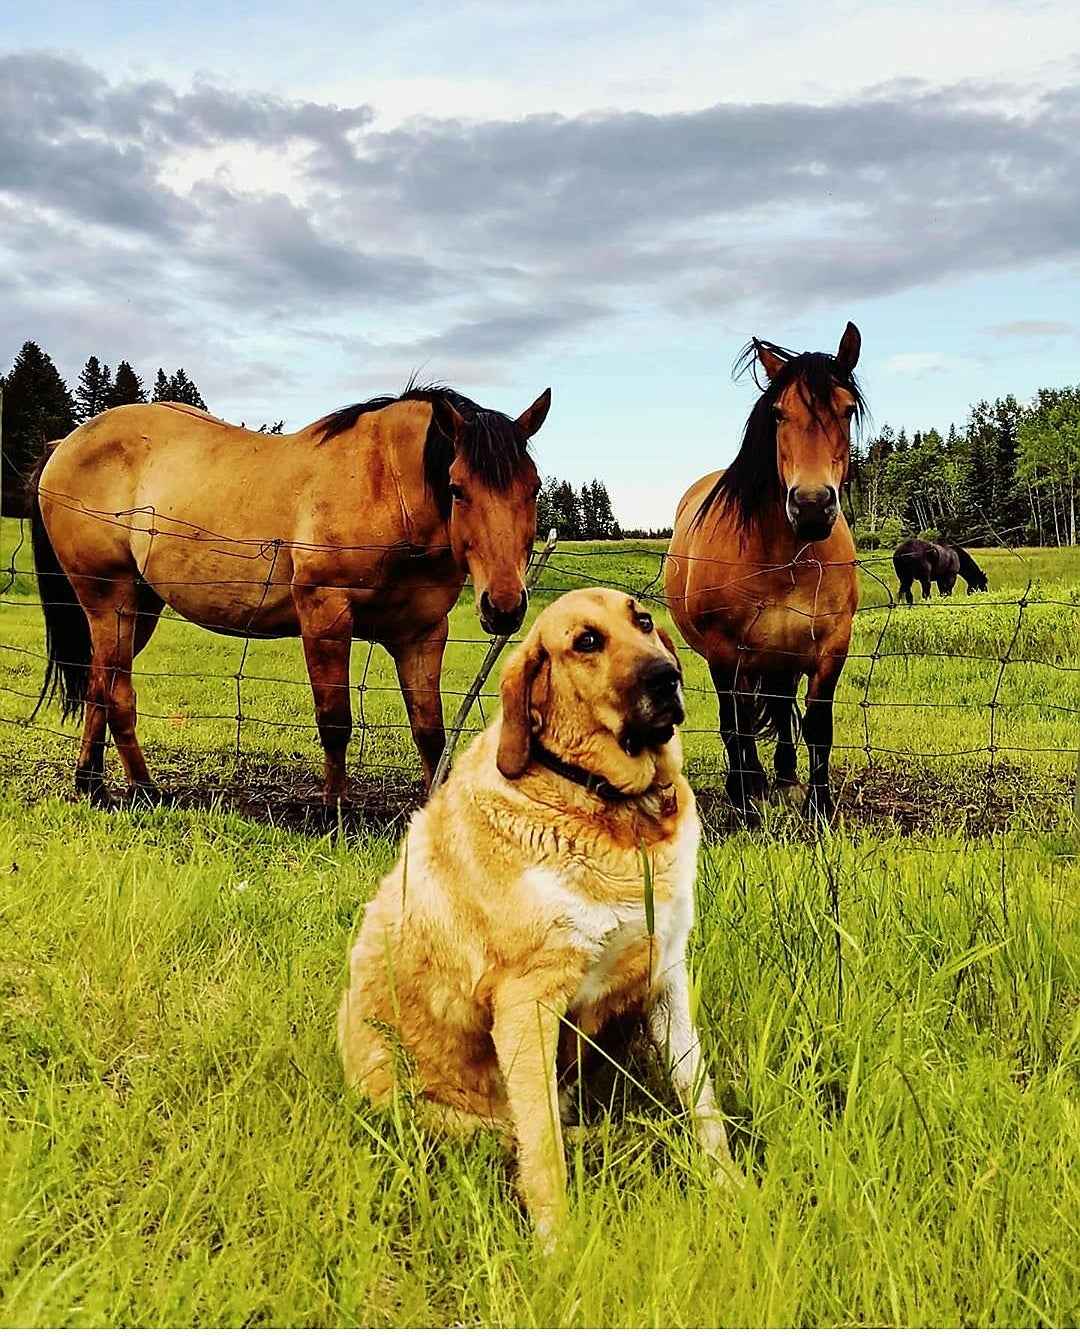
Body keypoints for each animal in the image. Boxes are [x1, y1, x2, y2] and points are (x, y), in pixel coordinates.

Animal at [31, 382, 548, 806]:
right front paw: (334, 813)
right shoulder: (325, 615)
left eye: (534, 488)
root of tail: (65, 445)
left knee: (98, 685)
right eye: (457, 488)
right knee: (118, 693)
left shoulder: (421, 634)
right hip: (110, 599)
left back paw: (91, 784)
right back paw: (144, 790)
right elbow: (335, 722)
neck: (387, 487)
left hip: (140, 607)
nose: (504, 606)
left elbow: (430, 733)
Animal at [336, 585, 743, 1239]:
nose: (668, 676)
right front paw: (558, 1246)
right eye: (586, 642)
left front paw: (732, 1189)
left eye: (644, 621)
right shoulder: (528, 1003)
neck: (615, 810)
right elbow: (543, 1143)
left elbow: (699, 1095)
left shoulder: (665, 977)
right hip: (445, 1117)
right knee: (532, 1137)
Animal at [662, 328, 866, 817]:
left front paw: (818, 807)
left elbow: (818, 726)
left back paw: (786, 780)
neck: (787, 556)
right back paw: (749, 785)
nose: (811, 506)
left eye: (847, 409)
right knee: (736, 719)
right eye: (777, 413)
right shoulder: (724, 652)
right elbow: (736, 724)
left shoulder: (831, 648)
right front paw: (745, 802)